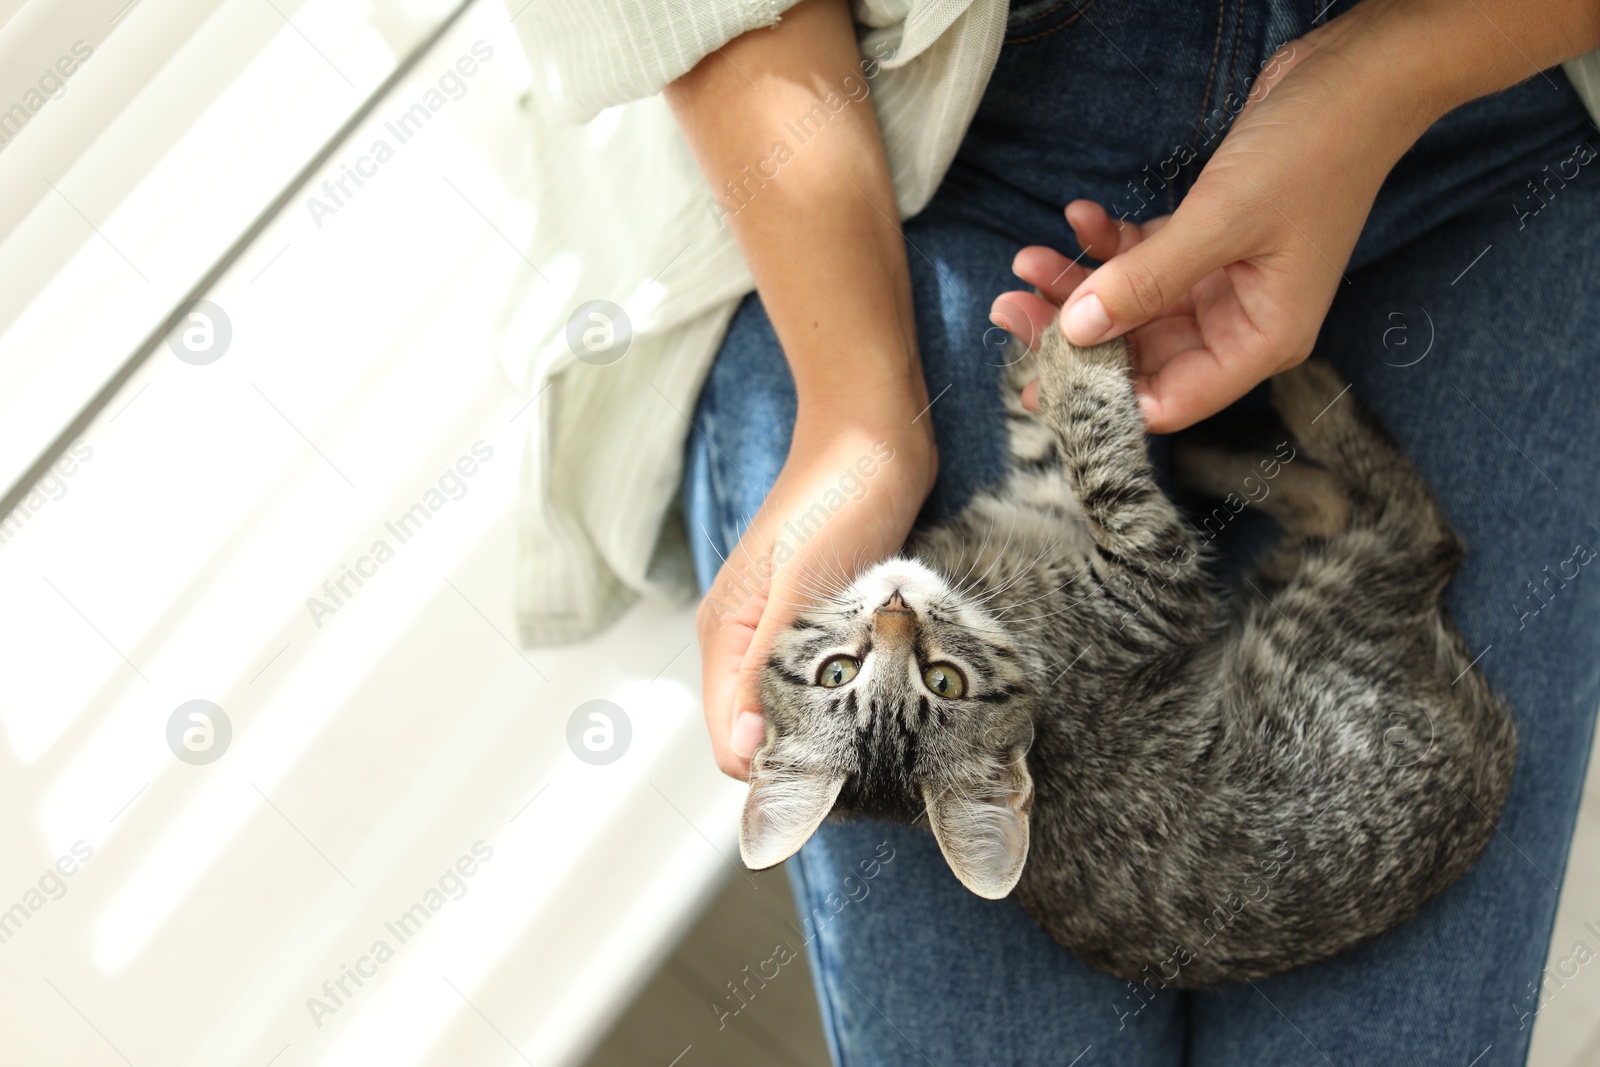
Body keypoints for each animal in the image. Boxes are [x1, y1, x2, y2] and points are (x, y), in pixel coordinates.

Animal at [742, 326, 1516, 985]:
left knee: (1344, 508)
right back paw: (1298, 388)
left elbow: (1052, 441)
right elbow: (1101, 456)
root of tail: (1493, 766)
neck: (982, 578)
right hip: (1317, 620)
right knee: (1411, 524)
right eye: (943, 680)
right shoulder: (1152, 582)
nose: (895, 611)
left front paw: (1041, 333)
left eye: (837, 670)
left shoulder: (1061, 509)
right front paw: (1078, 357)